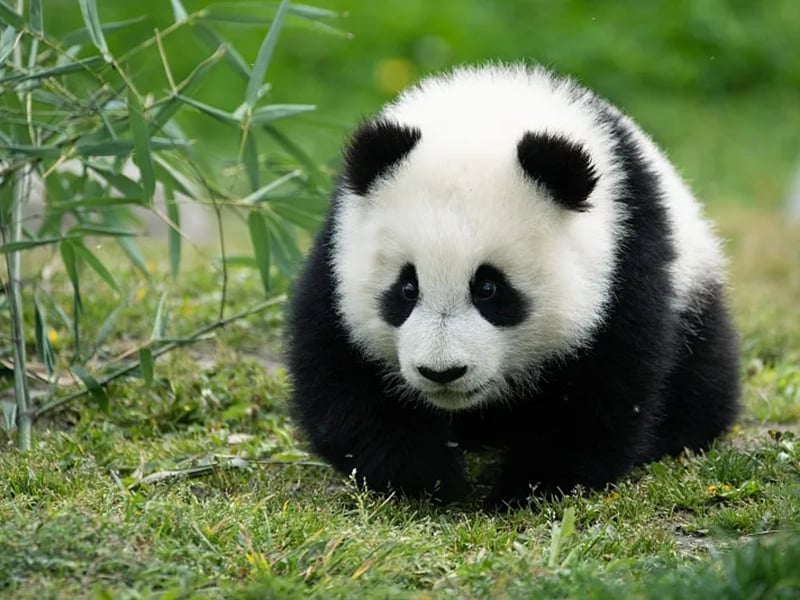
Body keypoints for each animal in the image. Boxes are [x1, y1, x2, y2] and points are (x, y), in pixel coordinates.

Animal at [287, 64, 740, 506]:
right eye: (407, 289)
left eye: (489, 289)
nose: (442, 371)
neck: (490, 110)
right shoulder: (338, 248)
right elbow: (340, 373)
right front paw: (428, 480)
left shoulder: (625, 250)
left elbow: (604, 384)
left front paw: (528, 486)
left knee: (703, 373)